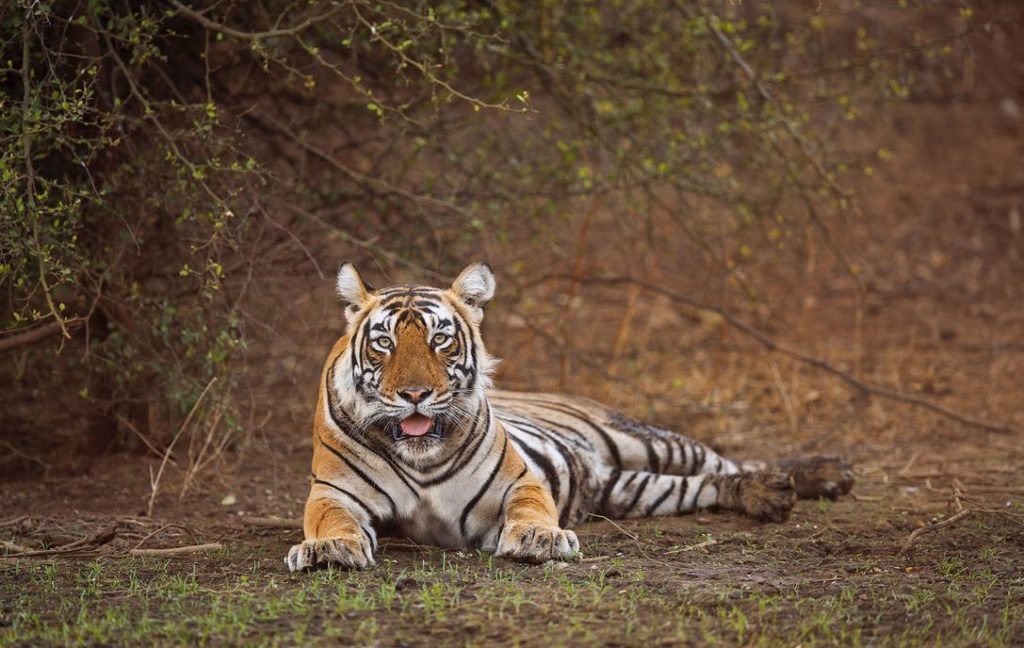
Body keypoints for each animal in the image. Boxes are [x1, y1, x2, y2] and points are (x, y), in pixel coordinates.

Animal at [286, 262, 854, 571]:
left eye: (439, 339)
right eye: (384, 342)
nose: (415, 394)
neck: (419, 457)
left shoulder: (518, 481)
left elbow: (533, 509)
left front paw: (540, 539)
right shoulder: (334, 492)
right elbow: (331, 519)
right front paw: (329, 548)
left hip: (645, 441)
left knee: (727, 461)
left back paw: (818, 476)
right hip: (633, 489)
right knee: (710, 483)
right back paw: (771, 494)